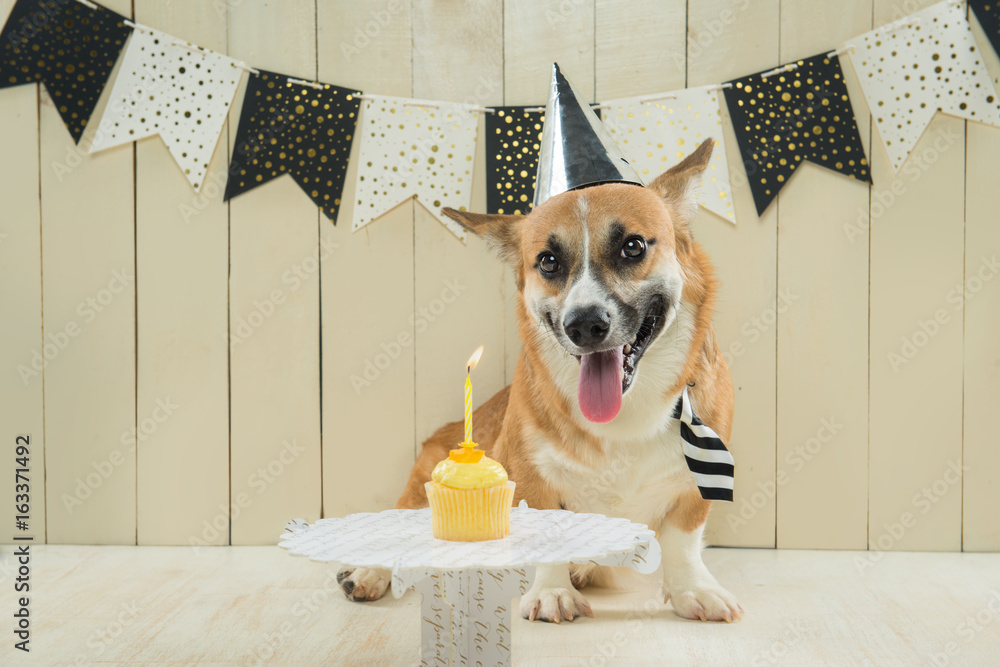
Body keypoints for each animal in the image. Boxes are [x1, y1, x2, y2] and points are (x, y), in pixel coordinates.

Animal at [338, 137, 744, 628]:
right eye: (548, 262)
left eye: (632, 247)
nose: (584, 324)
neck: (627, 413)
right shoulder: (531, 476)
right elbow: (548, 534)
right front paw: (553, 593)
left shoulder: (696, 484)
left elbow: (683, 540)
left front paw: (693, 590)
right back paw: (369, 571)